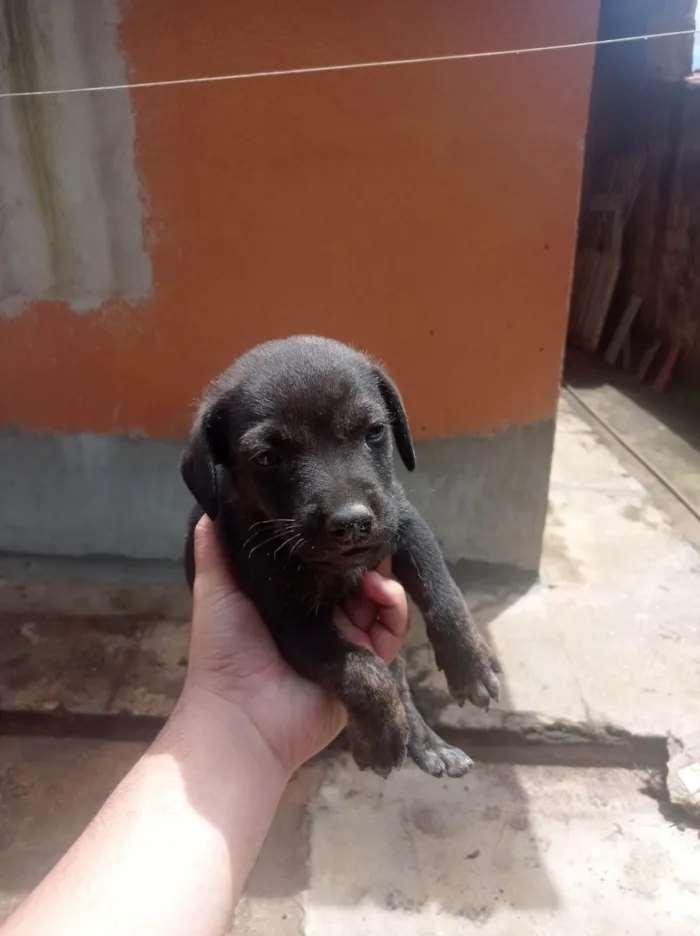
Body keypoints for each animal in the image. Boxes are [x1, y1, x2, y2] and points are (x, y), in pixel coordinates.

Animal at [180, 334, 498, 776]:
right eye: (266, 457)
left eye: (375, 432)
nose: (351, 523)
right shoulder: (292, 624)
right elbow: (362, 668)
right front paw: (381, 738)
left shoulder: (404, 520)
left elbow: (443, 590)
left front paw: (471, 663)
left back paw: (430, 744)